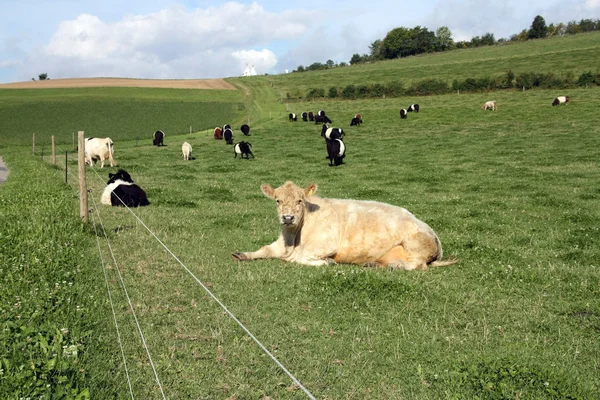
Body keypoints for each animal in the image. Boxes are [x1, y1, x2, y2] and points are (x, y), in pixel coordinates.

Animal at [232, 182, 458, 270]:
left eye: (300, 200)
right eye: (277, 200)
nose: (288, 218)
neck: (293, 240)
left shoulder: (326, 244)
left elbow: (301, 258)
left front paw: (327, 262)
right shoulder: (280, 243)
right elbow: (265, 249)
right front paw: (242, 254)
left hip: (415, 244)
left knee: (417, 265)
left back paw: (394, 266)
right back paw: (374, 264)